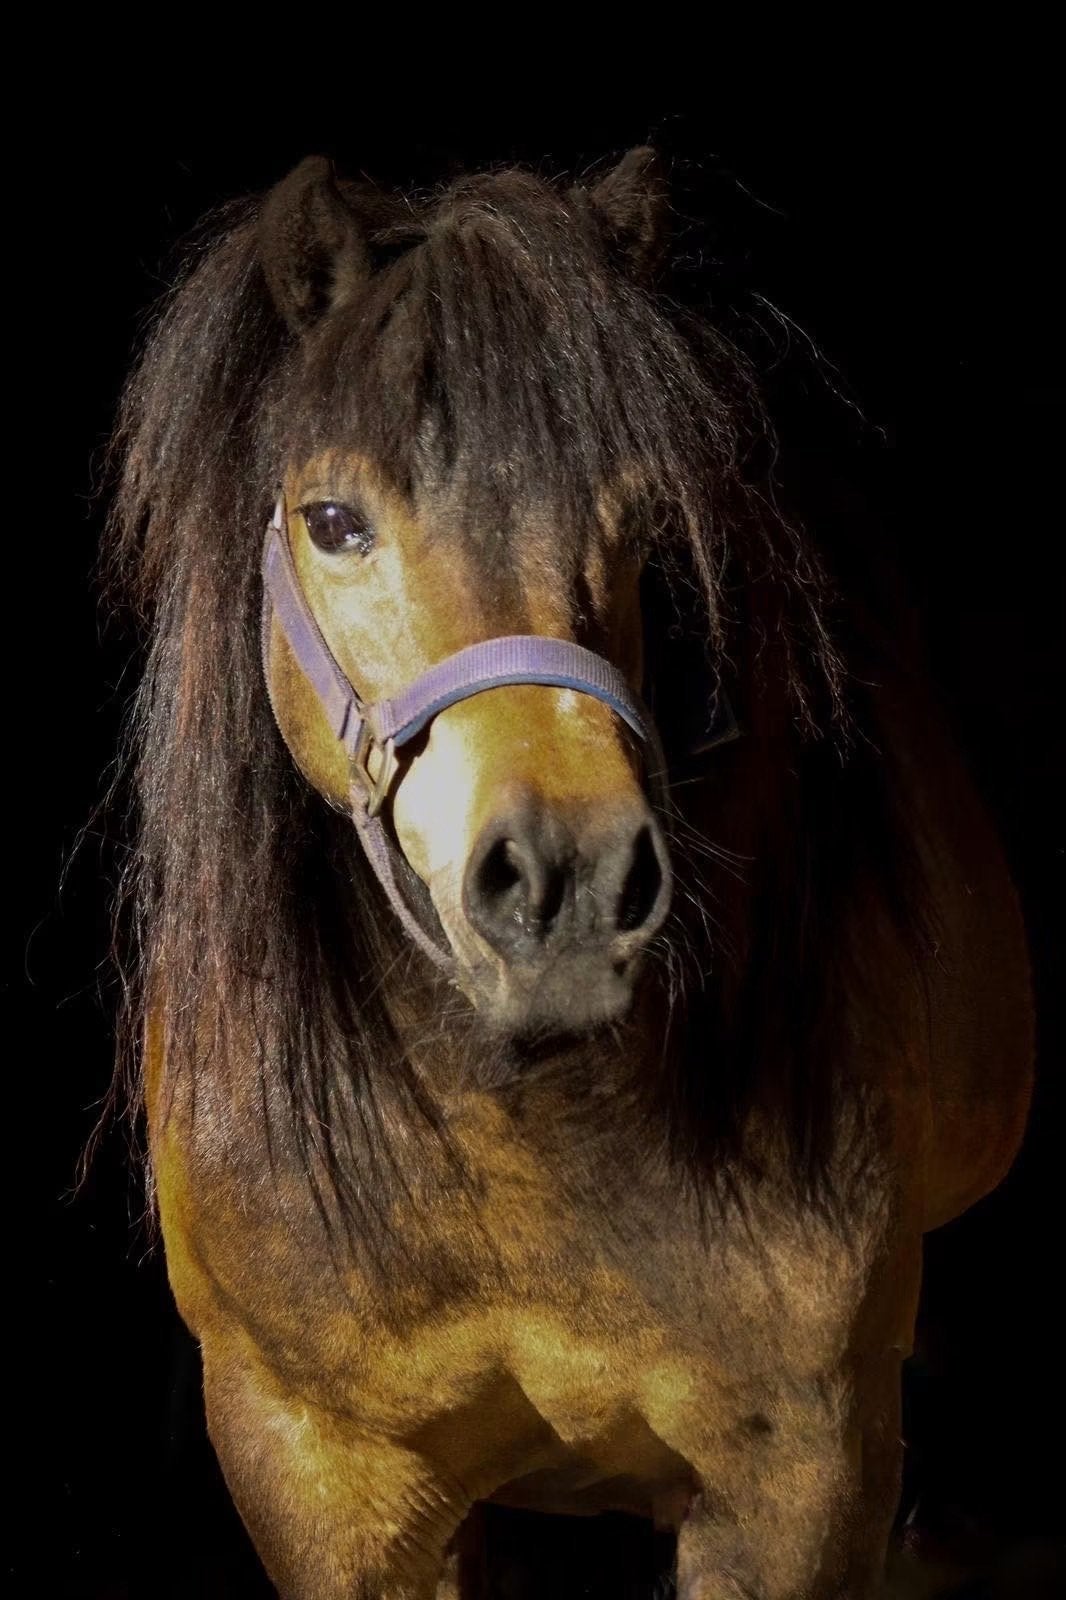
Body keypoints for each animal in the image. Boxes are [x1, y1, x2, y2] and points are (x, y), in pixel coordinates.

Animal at [105, 148, 1034, 1598]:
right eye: (332, 520)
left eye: (647, 520)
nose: (567, 883)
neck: (524, 1132)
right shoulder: (314, 1466)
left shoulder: (802, 1474)